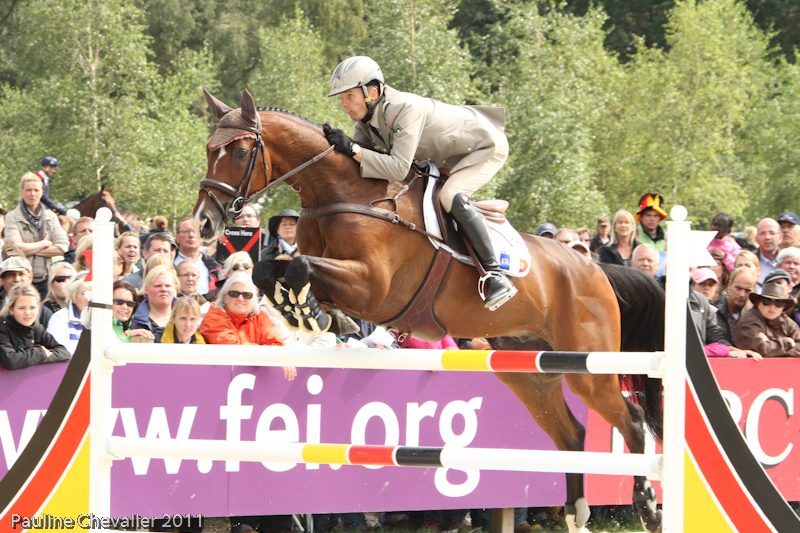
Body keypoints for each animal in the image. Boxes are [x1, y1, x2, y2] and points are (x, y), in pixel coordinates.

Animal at [192, 91, 664, 532]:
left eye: (239, 152)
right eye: (209, 150)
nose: (204, 224)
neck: (342, 194)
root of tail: (596, 268)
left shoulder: (372, 286)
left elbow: (301, 266)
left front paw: (307, 311)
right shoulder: (336, 280)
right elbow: (273, 268)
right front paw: (305, 311)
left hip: (589, 367)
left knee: (633, 421)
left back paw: (648, 507)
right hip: (528, 372)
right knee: (571, 432)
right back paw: (576, 510)